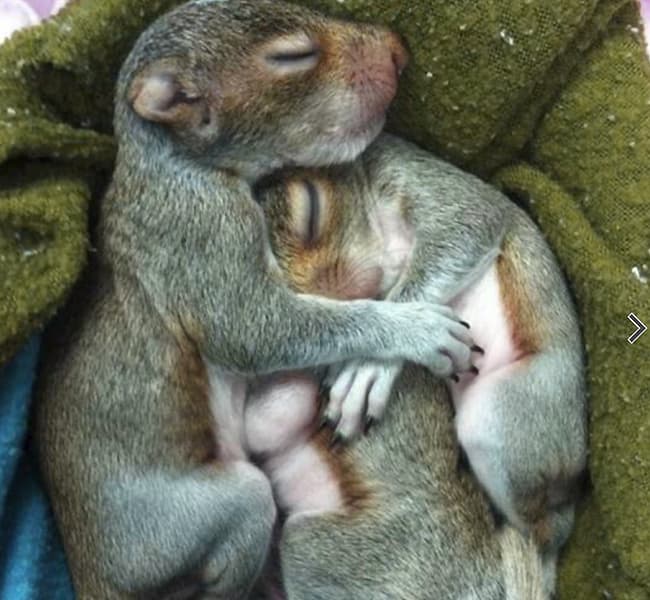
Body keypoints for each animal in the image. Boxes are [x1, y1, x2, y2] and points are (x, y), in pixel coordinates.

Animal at [34, 2, 479, 599]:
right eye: (292, 56)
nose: (397, 49)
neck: (175, 166)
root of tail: (93, 580)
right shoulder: (199, 233)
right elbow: (252, 330)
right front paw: (415, 330)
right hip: (221, 510)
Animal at [251, 132, 588, 597]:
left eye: (314, 207)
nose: (350, 296)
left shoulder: (436, 189)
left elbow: (463, 231)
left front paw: (367, 368)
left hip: (506, 417)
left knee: (544, 531)